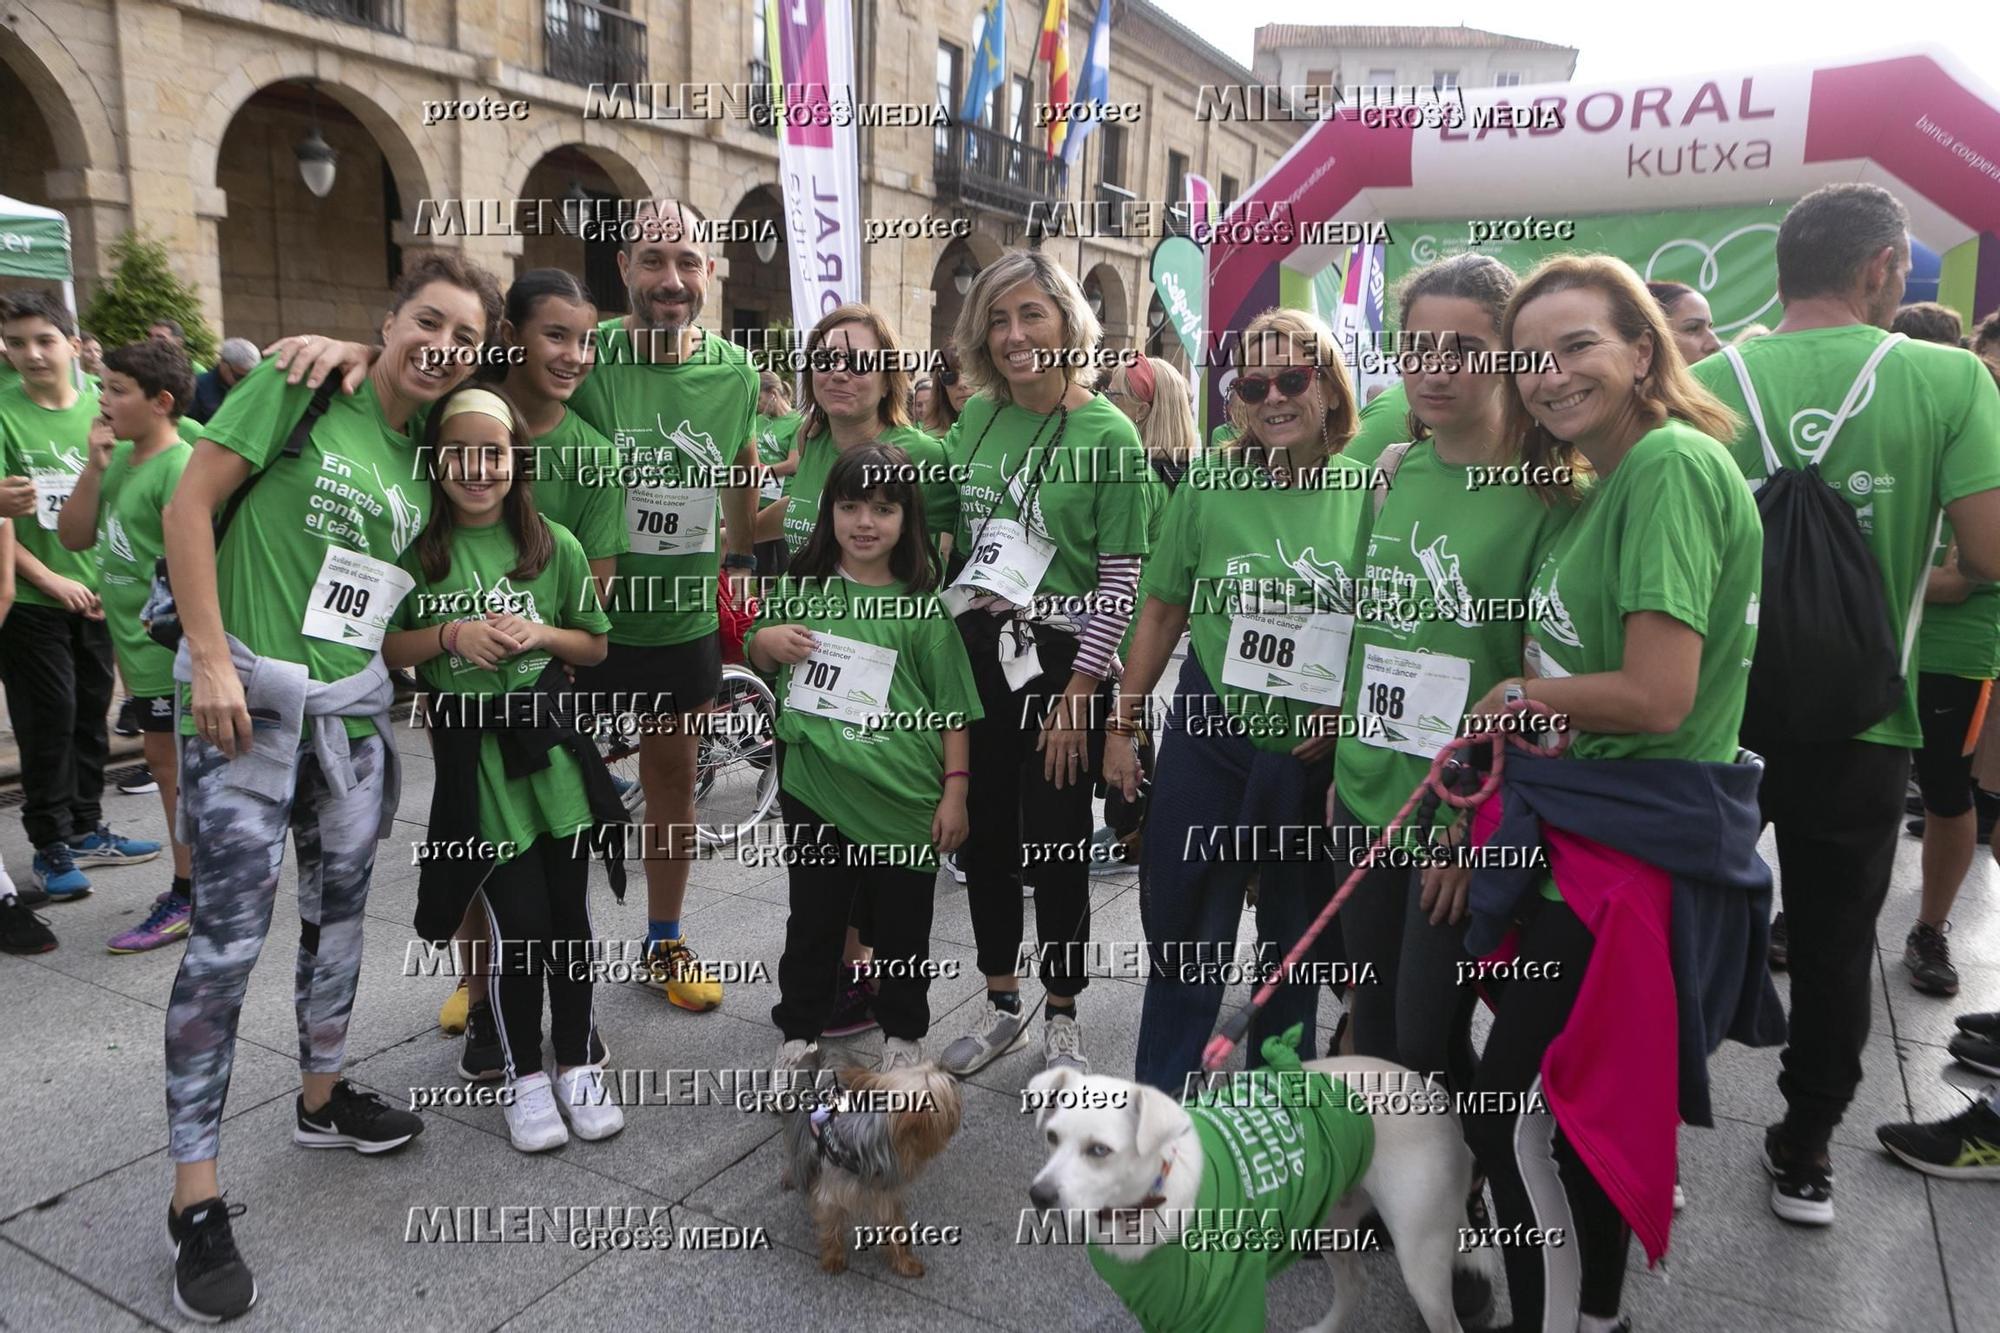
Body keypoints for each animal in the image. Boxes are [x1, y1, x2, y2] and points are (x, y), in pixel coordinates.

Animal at [1032, 1056, 1488, 1320]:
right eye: (1051, 1137)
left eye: (1099, 1150)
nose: (1039, 1196)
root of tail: (1442, 1100)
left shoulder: (1226, 1306)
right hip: (1330, 1222)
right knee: (1355, 1284)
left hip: (1422, 1263)